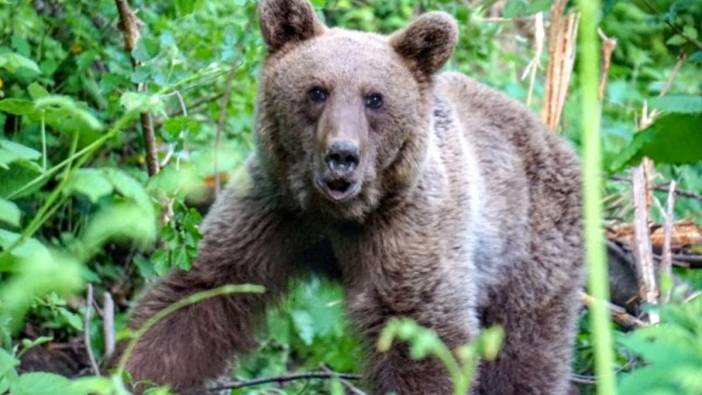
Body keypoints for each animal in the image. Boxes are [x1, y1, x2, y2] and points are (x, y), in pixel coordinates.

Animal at [124, 0, 584, 395]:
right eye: (316, 90)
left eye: (375, 98)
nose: (342, 155)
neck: (337, 214)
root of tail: (557, 140)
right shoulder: (273, 210)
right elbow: (199, 296)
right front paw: (131, 372)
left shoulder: (408, 229)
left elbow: (421, 334)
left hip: (532, 252)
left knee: (525, 351)